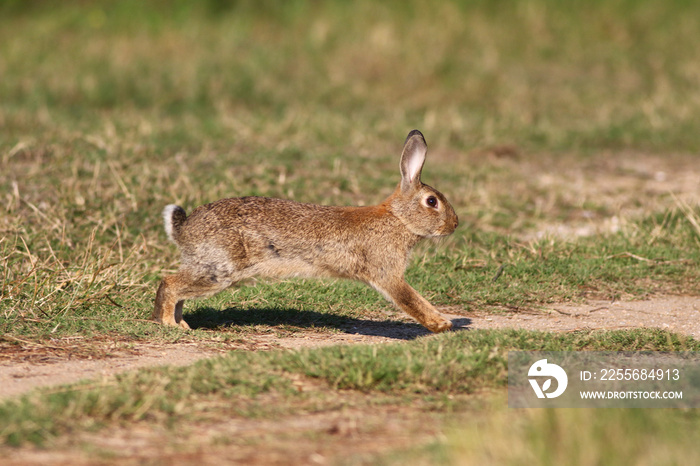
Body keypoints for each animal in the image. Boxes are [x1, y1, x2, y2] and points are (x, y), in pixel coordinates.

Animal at [154, 129, 460, 334]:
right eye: (432, 202)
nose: (454, 224)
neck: (398, 218)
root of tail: (184, 228)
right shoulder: (387, 272)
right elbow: (409, 298)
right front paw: (441, 324)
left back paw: (181, 323)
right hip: (218, 268)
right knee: (170, 284)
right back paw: (170, 325)